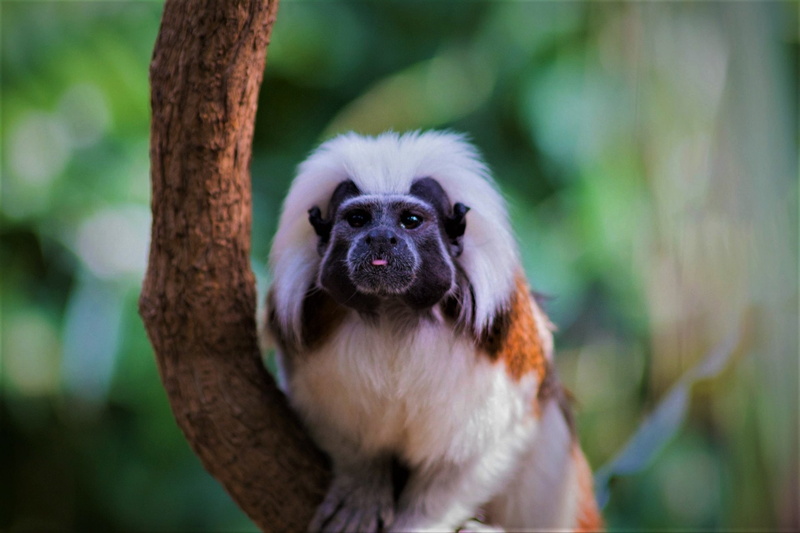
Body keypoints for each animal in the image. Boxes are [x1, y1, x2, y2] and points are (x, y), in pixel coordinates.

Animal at [264, 131, 602, 532]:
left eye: (410, 220)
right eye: (358, 219)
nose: (381, 238)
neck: (392, 312)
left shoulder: (503, 352)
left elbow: (492, 444)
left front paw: (420, 522)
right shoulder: (309, 341)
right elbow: (330, 422)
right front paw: (362, 485)